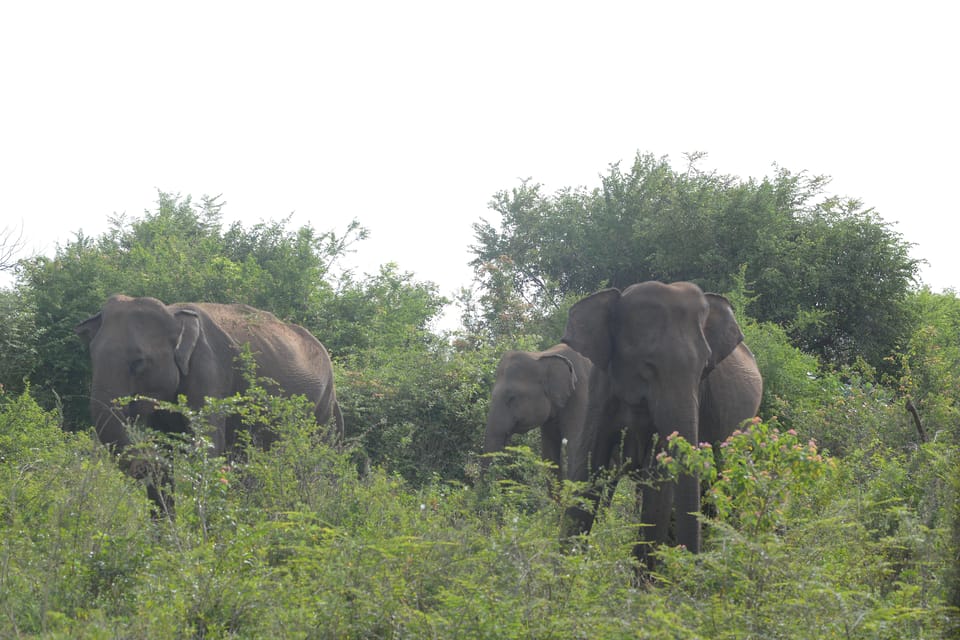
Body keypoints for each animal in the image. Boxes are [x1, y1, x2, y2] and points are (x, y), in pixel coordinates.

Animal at [77, 292, 344, 512]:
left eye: (138, 362)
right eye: (92, 357)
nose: (143, 463)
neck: (174, 315)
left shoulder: (210, 371)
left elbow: (207, 449)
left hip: (322, 404)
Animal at [560, 282, 760, 564]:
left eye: (705, 368)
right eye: (647, 365)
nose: (693, 562)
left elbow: (658, 484)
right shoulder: (601, 389)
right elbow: (589, 468)